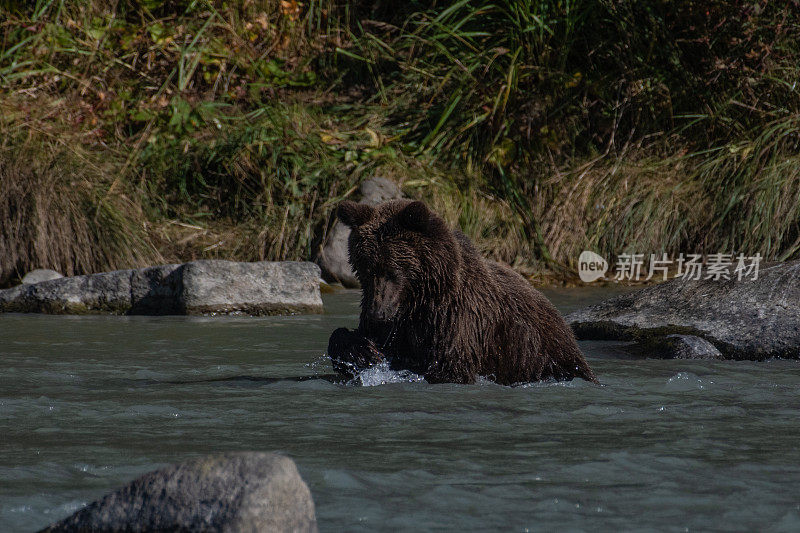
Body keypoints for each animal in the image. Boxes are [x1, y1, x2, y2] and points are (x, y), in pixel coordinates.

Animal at [324, 197, 592, 384]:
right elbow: (347, 338)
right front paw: (364, 351)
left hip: (542, 353)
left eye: (393, 270)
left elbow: (447, 366)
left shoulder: (456, 319)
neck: (420, 300)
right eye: (366, 269)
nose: (377, 313)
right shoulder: (394, 323)